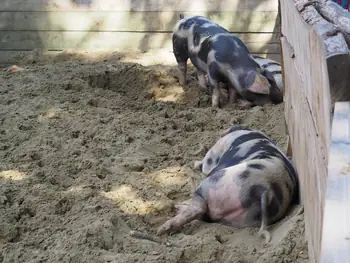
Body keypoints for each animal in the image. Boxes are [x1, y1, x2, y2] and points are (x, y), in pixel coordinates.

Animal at [157, 126, 300, 243]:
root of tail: (265, 188)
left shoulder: (212, 155)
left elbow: (204, 164)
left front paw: (195, 163)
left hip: (212, 184)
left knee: (198, 208)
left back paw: (164, 226)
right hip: (240, 218)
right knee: (205, 216)